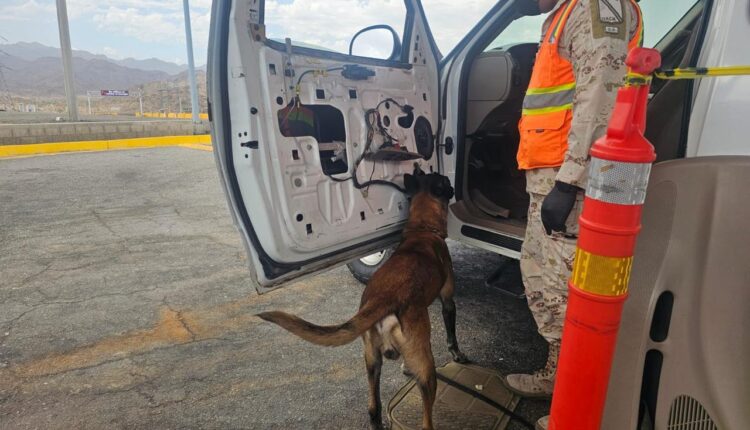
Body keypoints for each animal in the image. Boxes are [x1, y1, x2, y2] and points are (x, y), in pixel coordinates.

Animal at [258, 171, 470, 430]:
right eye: (445, 181)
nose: (453, 186)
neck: (422, 230)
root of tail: (383, 298)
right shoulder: (448, 300)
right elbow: (452, 334)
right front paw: (457, 355)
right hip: (426, 369)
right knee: (425, 420)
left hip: (372, 361)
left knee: (373, 408)